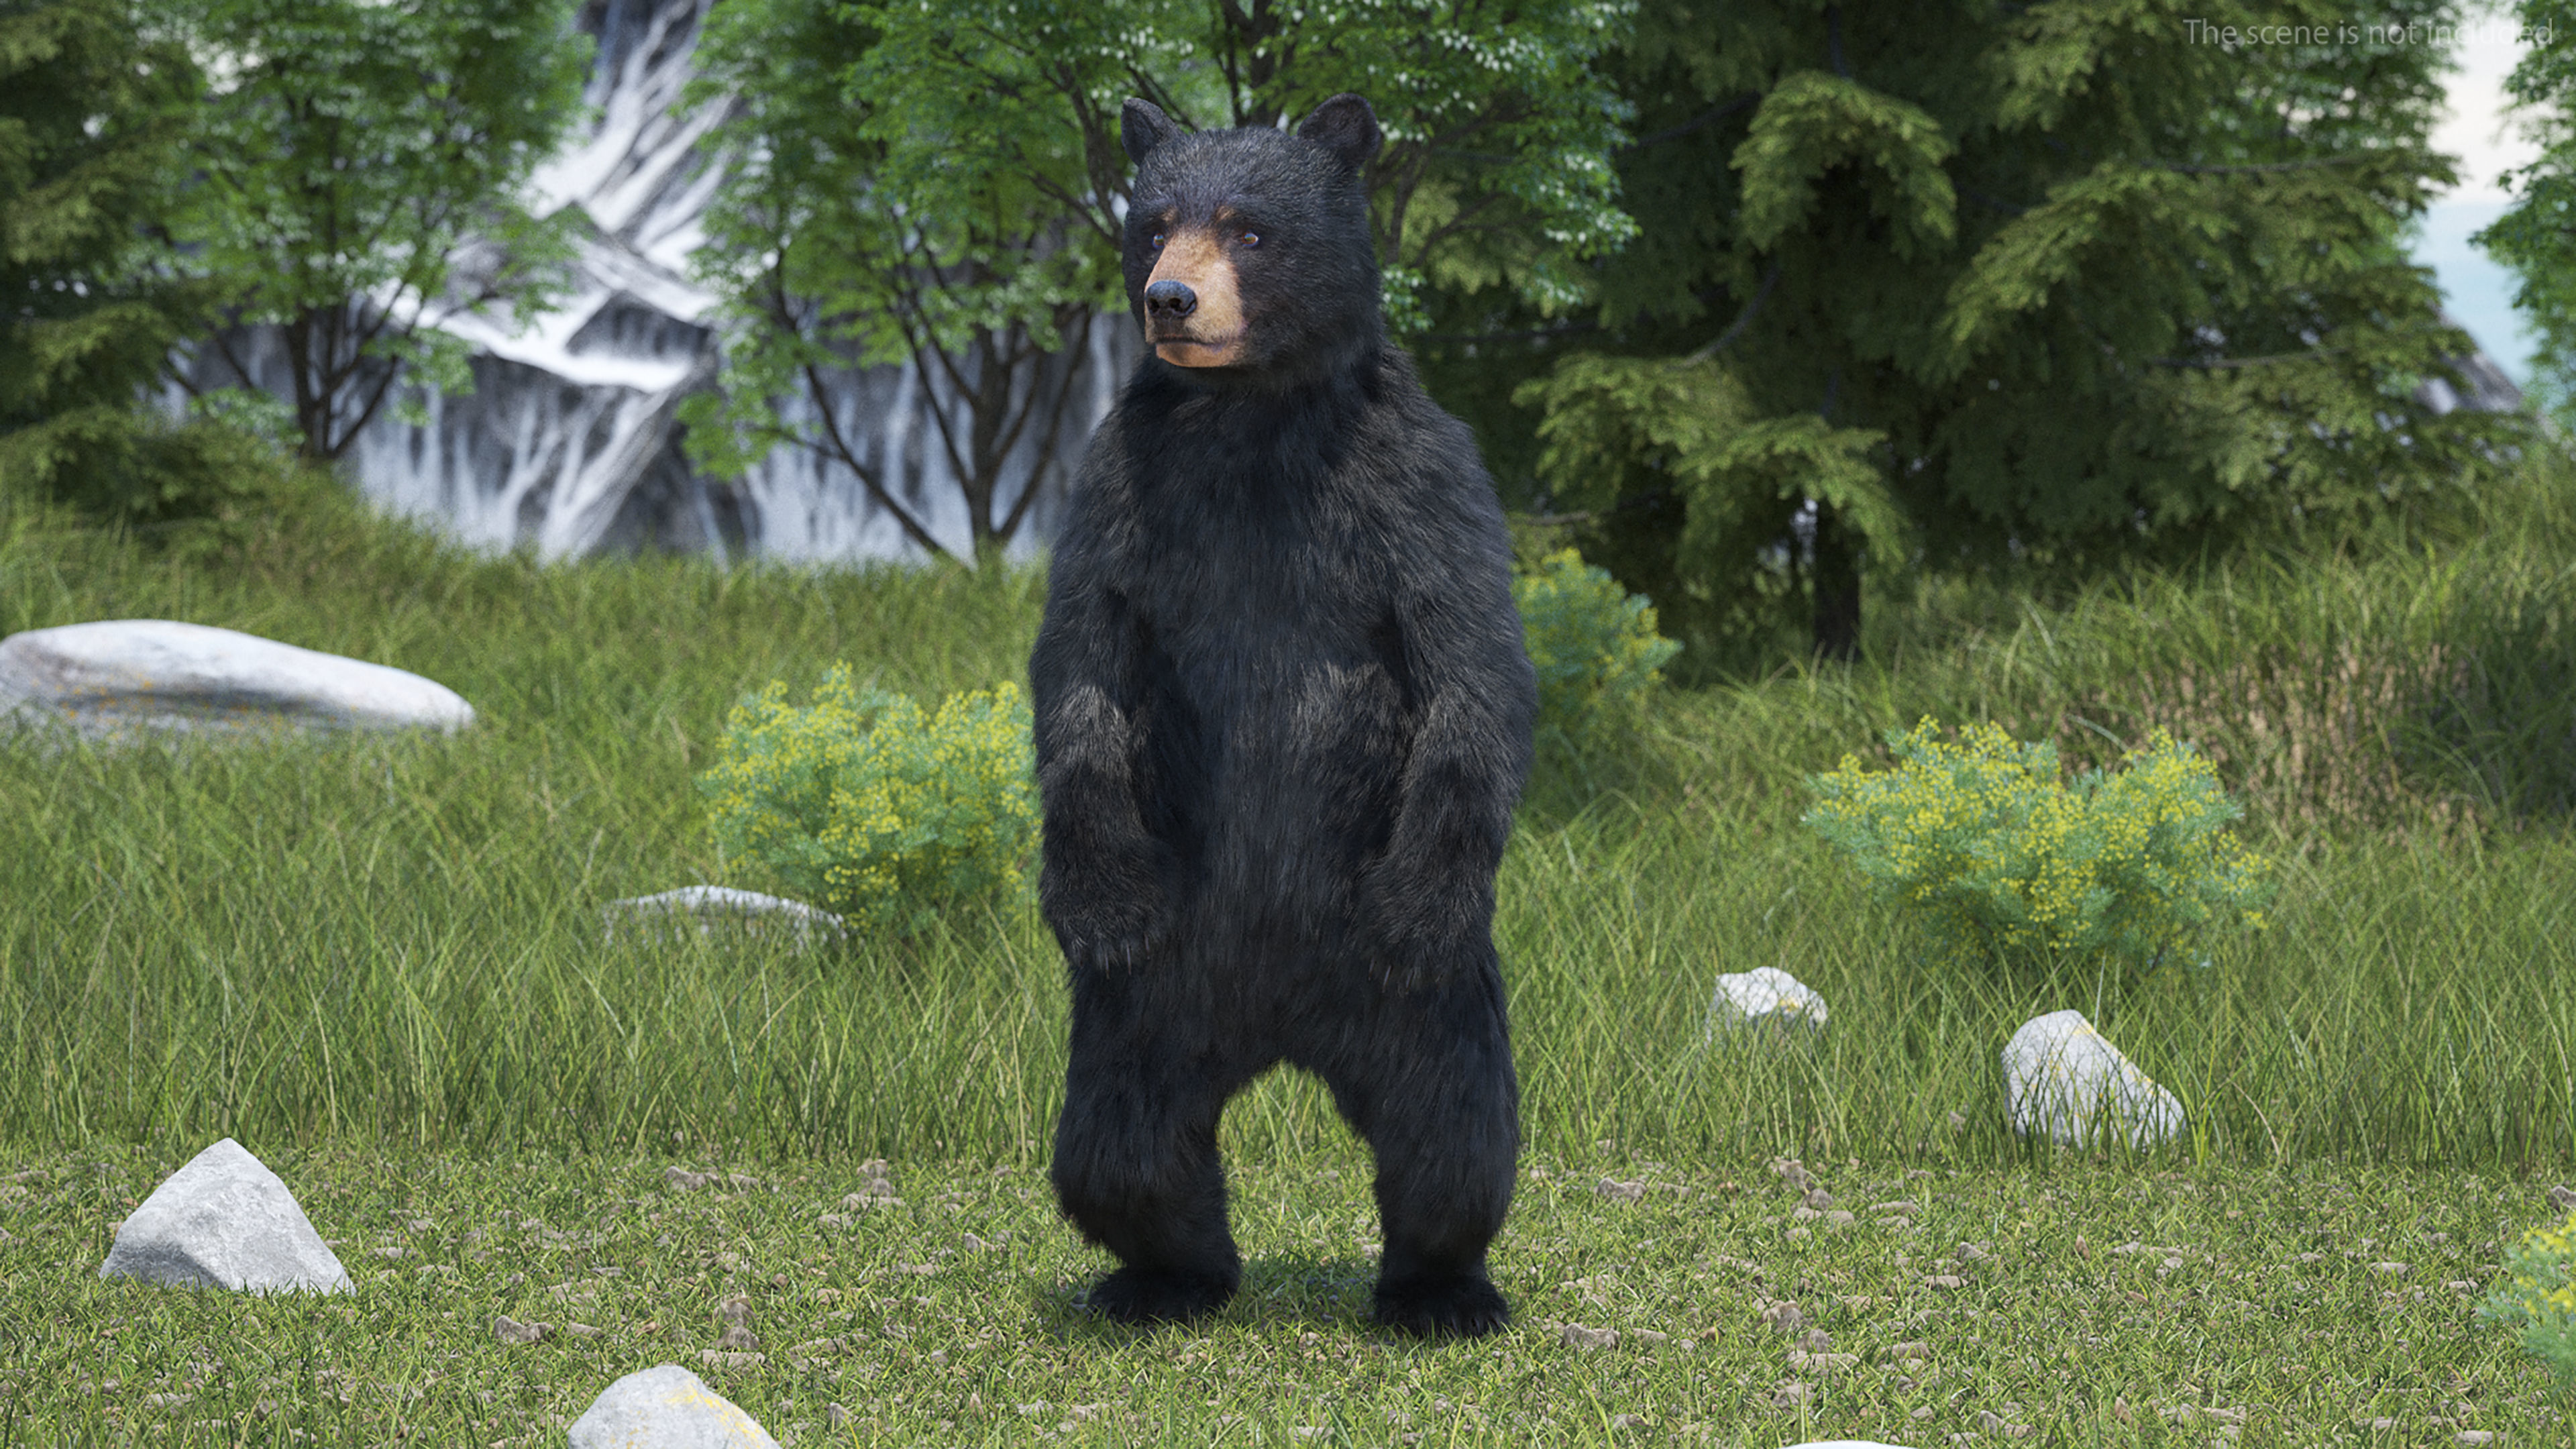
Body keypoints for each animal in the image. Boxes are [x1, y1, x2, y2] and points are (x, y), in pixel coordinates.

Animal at [1027, 92, 1539, 1339]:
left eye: (1250, 229)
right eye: (1155, 222)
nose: (1171, 298)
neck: (1251, 416)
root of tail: (1278, 1033)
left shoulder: (1416, 481)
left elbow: (1470, 672)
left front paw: (1416, 908)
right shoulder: (1123, 488)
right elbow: (1082, 674)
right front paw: (1093, 903)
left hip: (1423, 1010)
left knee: (1454, 1134)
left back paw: (1440, 1291)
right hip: (1147, 1009)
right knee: (1122, 1146)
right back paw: (1165, 1277)